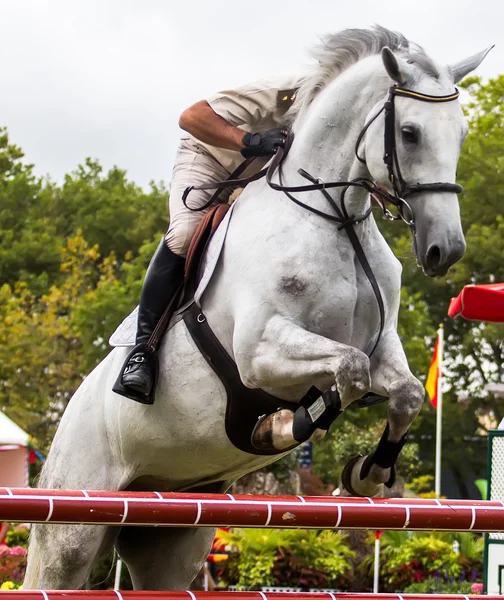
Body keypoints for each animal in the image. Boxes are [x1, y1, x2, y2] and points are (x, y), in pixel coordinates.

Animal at [24, 28, 492, 592]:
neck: (335, 218)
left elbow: (401, 392)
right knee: (57, 565)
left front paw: (368, 473)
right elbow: (348, 372)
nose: (446, 249)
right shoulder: (260, 351)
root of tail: (65, 419)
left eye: (462, 133)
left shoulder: (382, 346)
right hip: (72, 527)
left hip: (172, 532)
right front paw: (284, 426)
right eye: (409, 132)